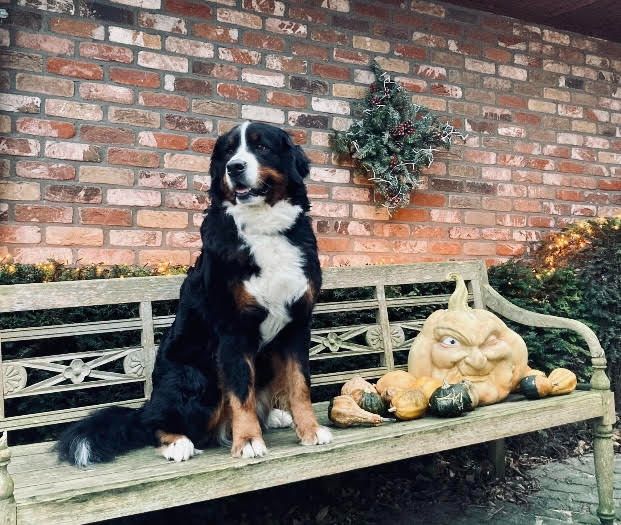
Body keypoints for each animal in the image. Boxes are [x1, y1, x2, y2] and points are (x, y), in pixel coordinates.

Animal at [58, 123, 332, 466]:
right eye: (228, 152)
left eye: (262, 147)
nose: (234, 167)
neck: (263, 230)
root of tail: (148, 405)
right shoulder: (232, 329)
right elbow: (241, 391)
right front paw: (248, 441)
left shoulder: (297, 324)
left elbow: (299, 385)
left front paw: (310, 430)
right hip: (194, 378)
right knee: (153, 425)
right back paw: (178, 442)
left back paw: (275, 417)